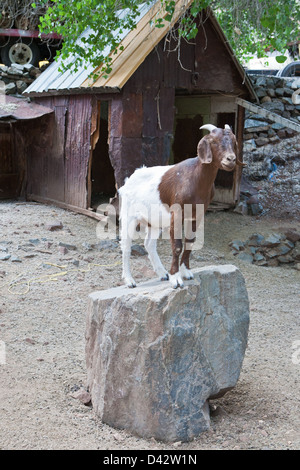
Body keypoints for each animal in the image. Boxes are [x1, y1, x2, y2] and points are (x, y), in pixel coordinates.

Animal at [117, 123, 244, 288]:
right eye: (214, 142)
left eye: (234, 143)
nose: (231, 159)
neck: (196, 178)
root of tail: (131, 178)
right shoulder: (176, 213)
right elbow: (177, 246)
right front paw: (176, 278)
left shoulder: (197, 215)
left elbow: (190, 242)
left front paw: (185, 272)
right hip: (129, 215)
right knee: (126, 245)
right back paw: (130, 280)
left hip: (155, 220)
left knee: (149, 244)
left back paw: (162, 273)